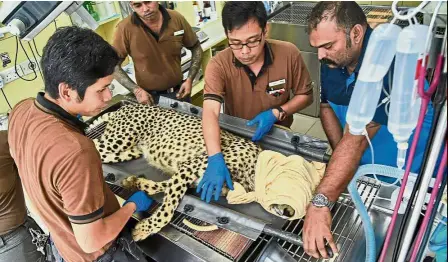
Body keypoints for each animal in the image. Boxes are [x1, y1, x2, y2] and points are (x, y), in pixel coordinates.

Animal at [91, 103, 294, 242]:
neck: (253, 173)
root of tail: (129, 105)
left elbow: (162, 186)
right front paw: (145, 229)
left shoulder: (192, 177)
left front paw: (135, 183)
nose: (289, 212)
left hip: (129, 151)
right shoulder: (188, 168)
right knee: (90, 144)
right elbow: (168, 209)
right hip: (117, 140)